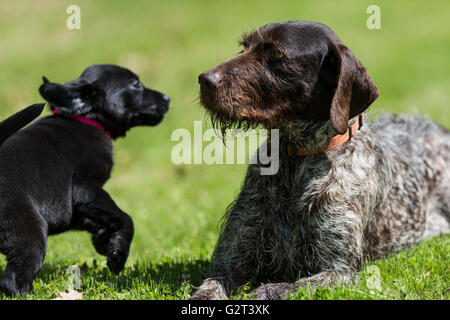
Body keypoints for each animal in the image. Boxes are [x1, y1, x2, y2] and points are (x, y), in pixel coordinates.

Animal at [0, 64, 169, 296]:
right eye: (136, 85)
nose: (167, 98)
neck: (86, 118)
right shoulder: (87, 189)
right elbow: (125, 218)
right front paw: (118, 256)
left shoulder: (75, 207)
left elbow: (100, 219)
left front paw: (105, 242)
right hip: (28, 230)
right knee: (13, 279)